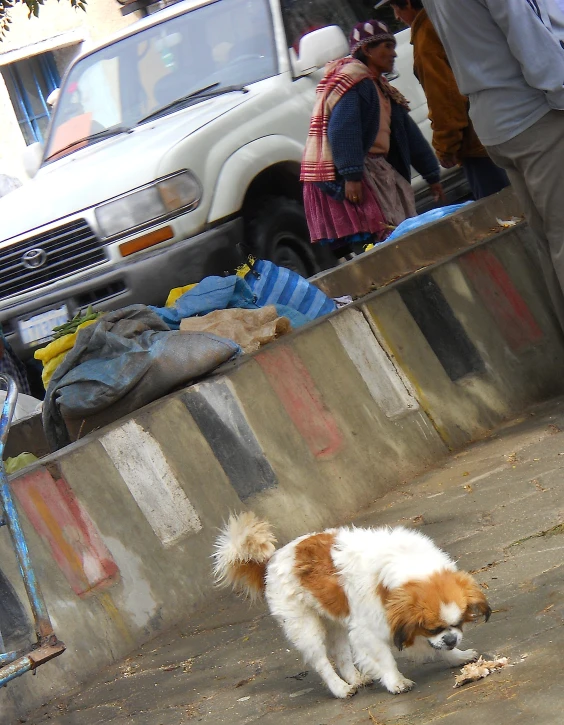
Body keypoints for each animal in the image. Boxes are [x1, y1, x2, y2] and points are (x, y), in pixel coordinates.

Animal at [213, 512, 490, 700]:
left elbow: (434, 648)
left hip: (335, 624)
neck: (409, 566)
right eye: (433, 628)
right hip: (307, 629)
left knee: (341, 655)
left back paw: (355, 679)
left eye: (458, 624)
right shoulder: (370, 630)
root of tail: (271, 561)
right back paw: (341, 688)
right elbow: (385, 659)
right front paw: (396, 682)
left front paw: (456, 657)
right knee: (322, 662)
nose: (452, 639)